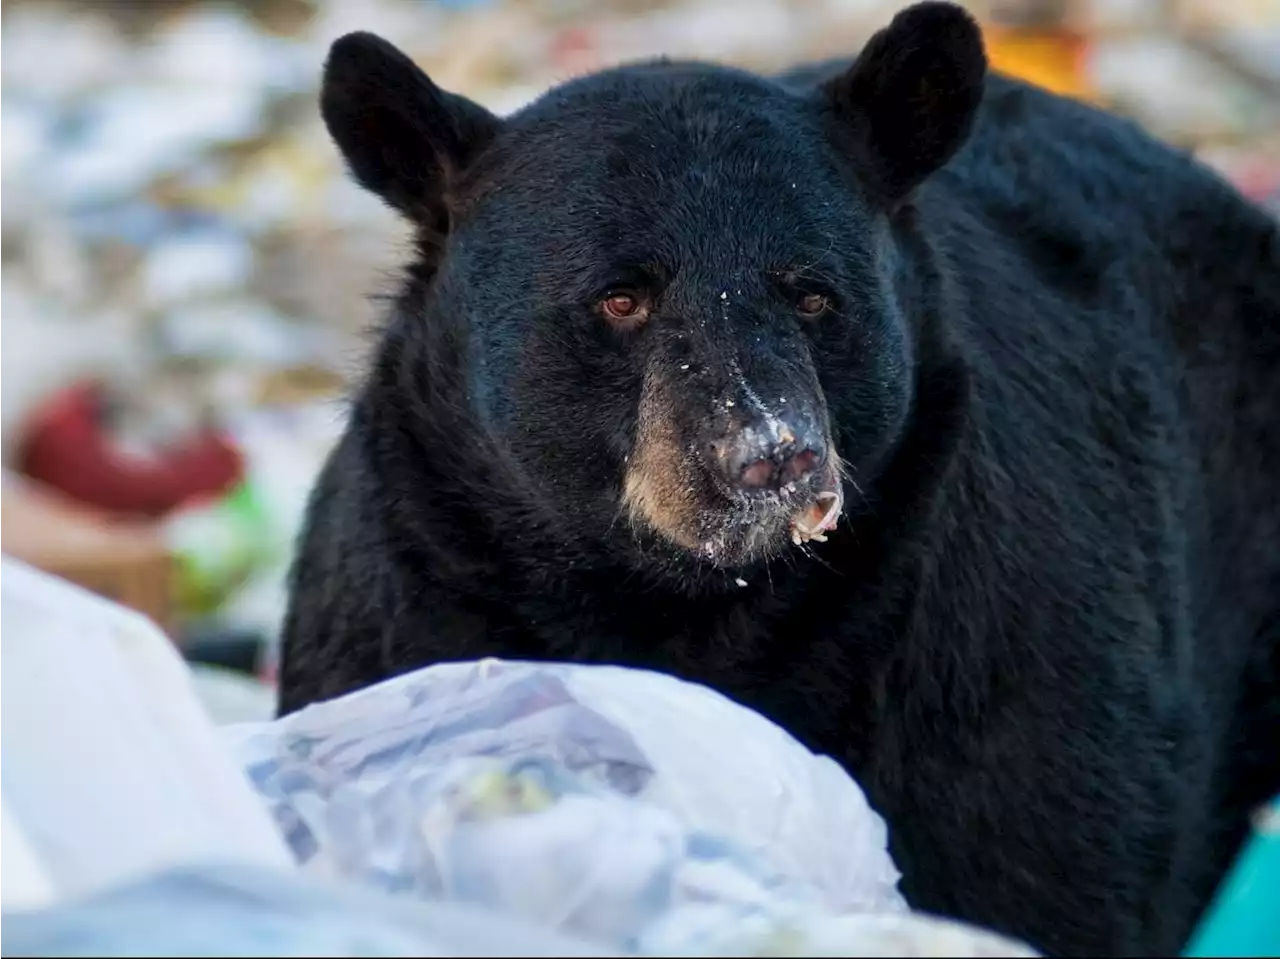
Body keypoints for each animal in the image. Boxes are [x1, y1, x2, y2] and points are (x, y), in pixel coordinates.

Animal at [280, 3, 1280, 952]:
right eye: (620, 298)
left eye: (812, 292)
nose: (771, 454)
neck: (695, 612)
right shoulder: (405, 605)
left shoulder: (1007, 675)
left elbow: (1045, 861)